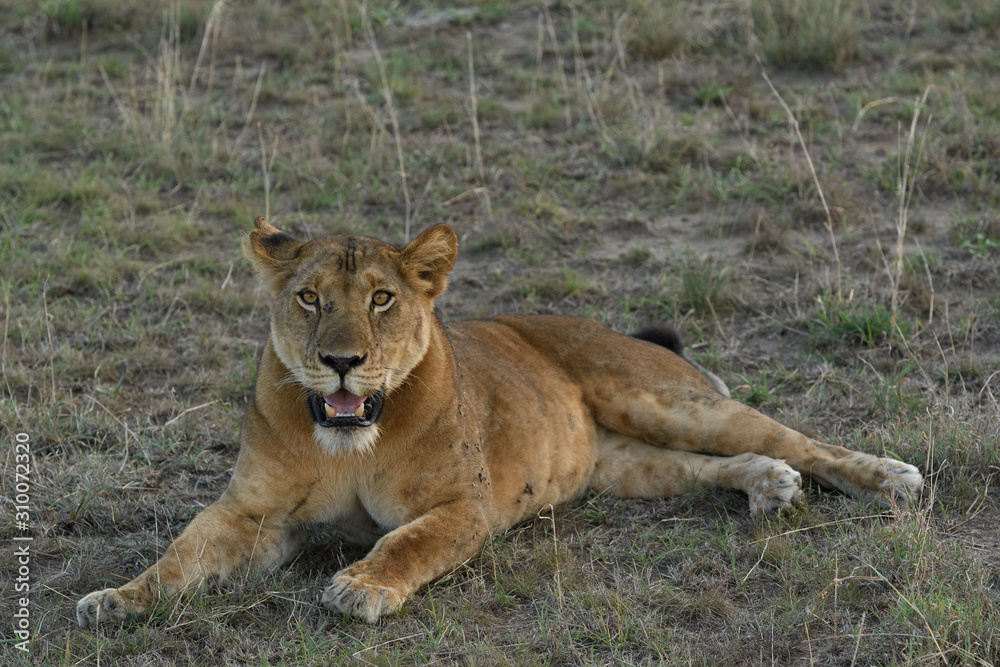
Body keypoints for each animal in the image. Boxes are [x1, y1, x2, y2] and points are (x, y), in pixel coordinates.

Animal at [77, 218, 922, 627]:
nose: (342, 360)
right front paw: (116, 600)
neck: (349, 441)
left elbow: (405, 543)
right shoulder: (251, 514)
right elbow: (182, 557)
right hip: (627, 463)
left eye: (382, 298)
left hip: (666, 400)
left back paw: (889, 476)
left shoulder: (464, 505)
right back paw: (770, 487)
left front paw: (361, 586)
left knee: (794, 437)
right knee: (714, 465)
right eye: (309, 297)